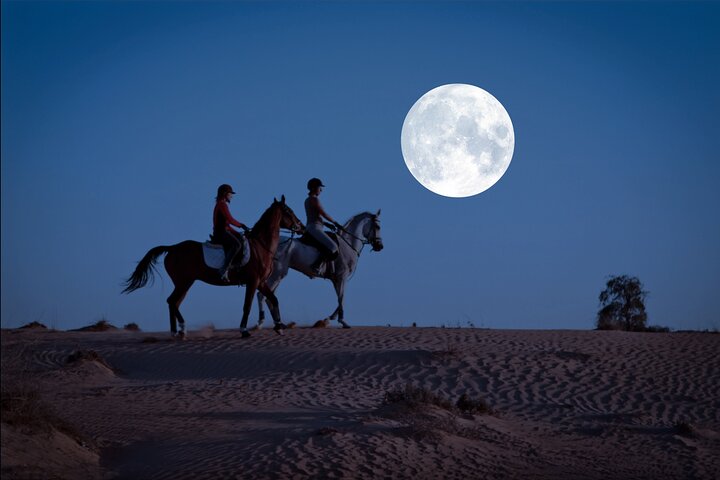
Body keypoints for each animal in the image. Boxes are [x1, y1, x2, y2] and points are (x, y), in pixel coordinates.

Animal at [122, 195, 302, 338]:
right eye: (289, 211)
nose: (301, 226)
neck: (261, 246)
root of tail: (172, 248)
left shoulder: (261, 282)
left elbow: (274, 299)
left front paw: (279, 327)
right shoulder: (252, 282)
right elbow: (247, 306)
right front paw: (244, 331)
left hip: (184, 283)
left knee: (174, 303)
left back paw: (178, 332)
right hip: (184, 282)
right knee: (172, 301)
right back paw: (181, 330)